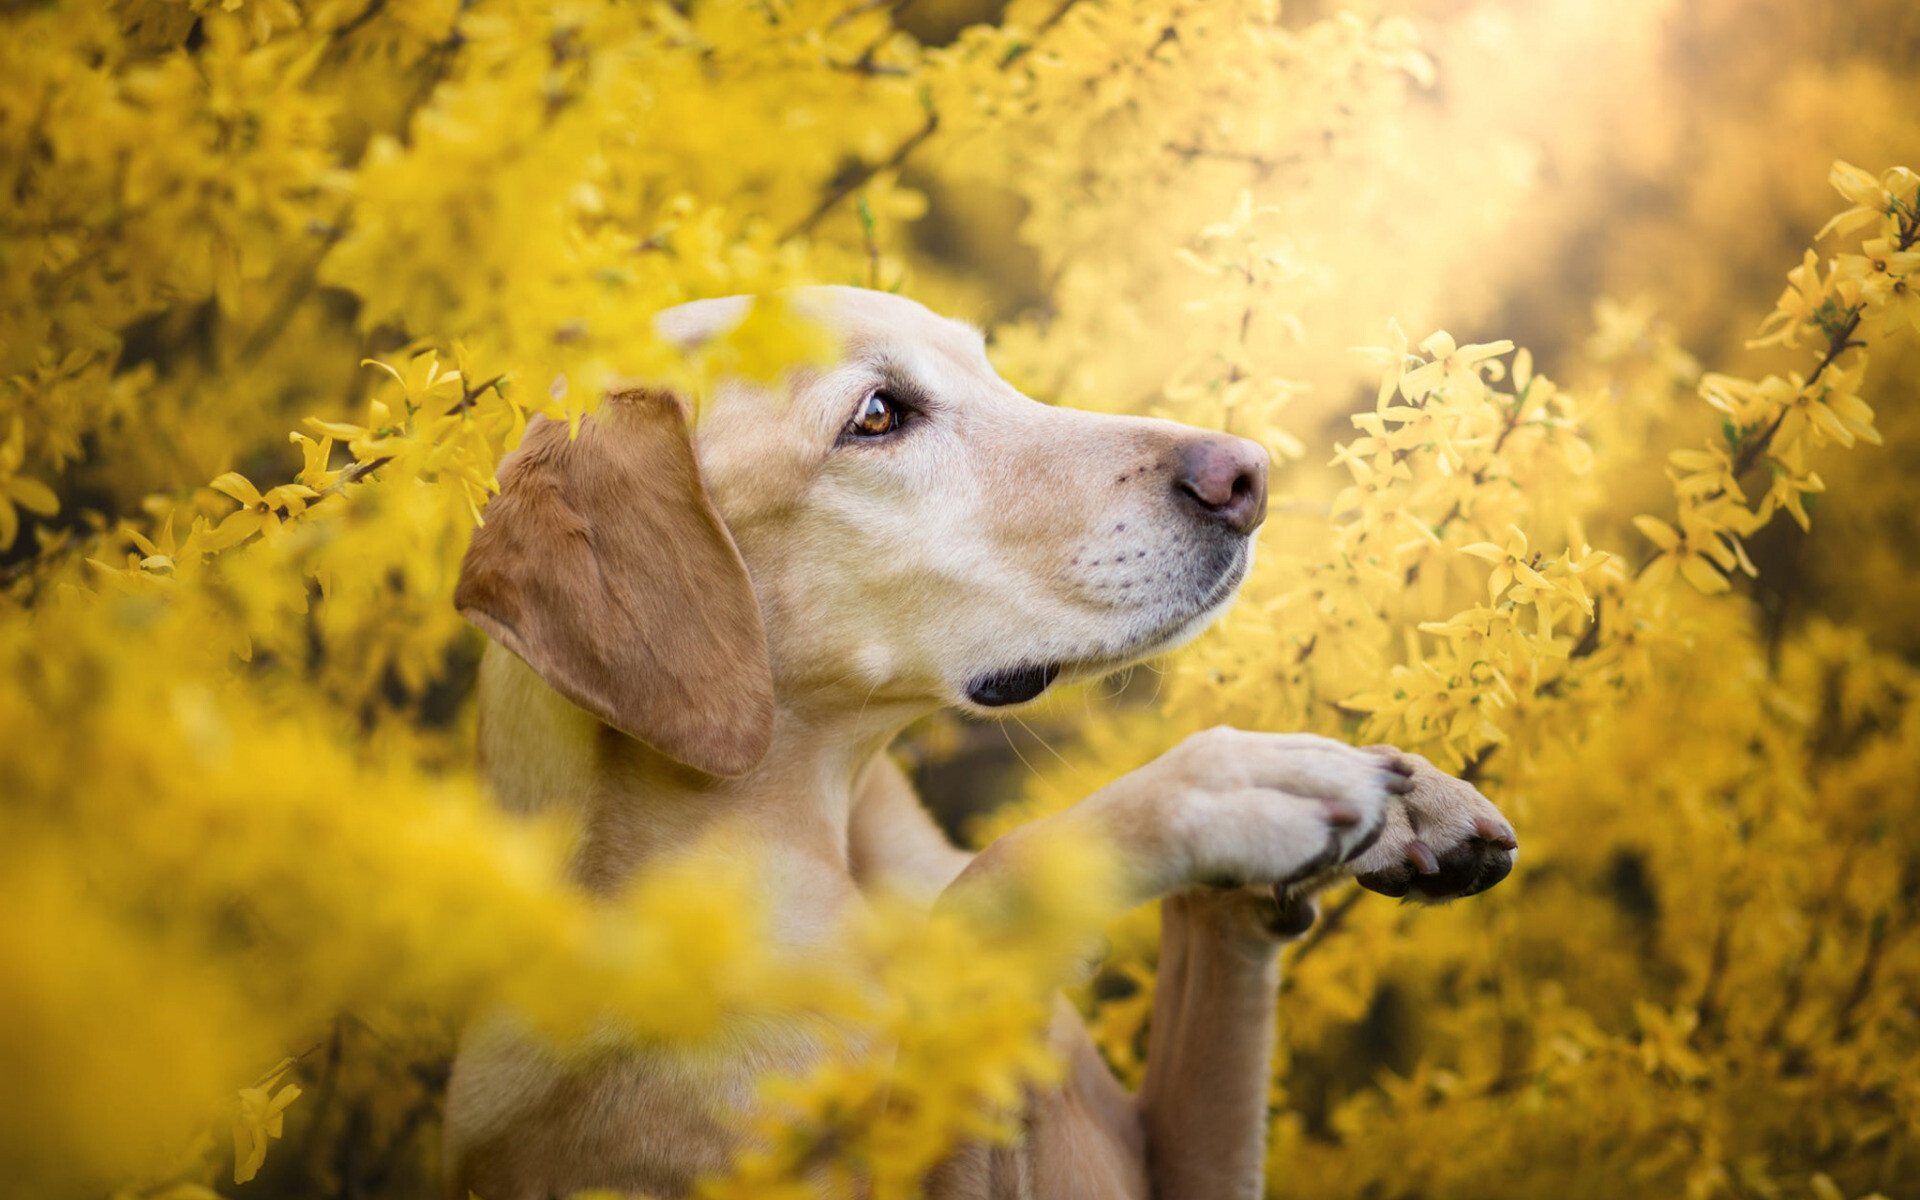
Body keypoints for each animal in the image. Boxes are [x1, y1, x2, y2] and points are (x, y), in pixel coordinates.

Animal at [445, 288, 1512, 1198]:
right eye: (877, 416)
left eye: (989, 368)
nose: (1247, 474)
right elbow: (990, 888)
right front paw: (1219, 783)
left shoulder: (1189, 1165)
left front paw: (1404, 799)